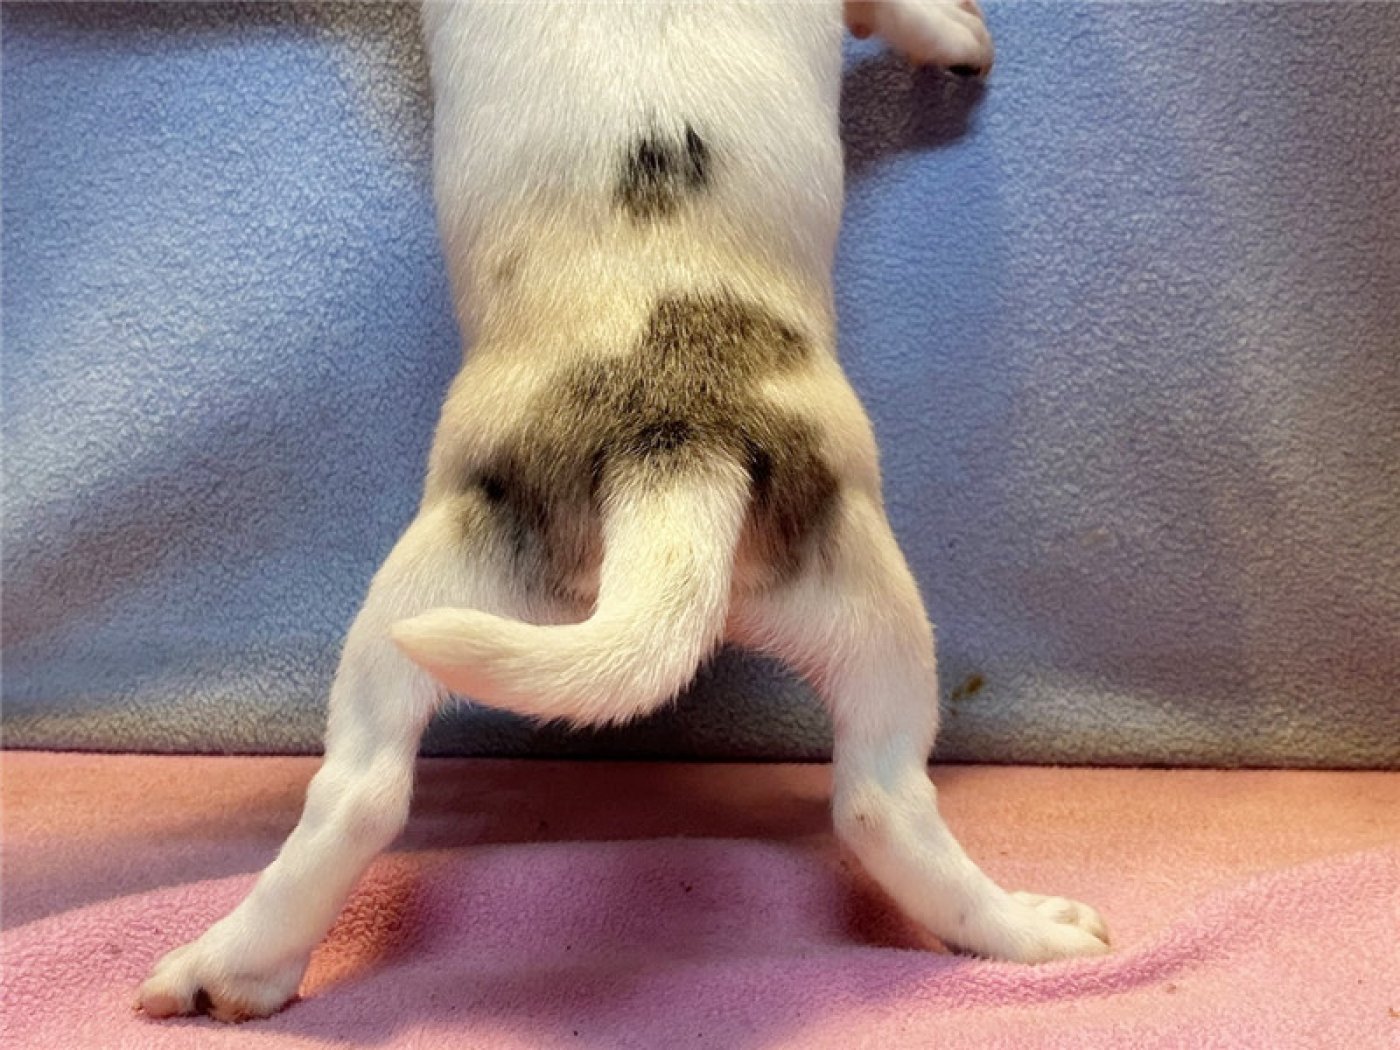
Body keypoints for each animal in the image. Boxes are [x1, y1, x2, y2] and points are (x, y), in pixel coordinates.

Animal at [137, 0, 1107, 1022]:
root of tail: (676, 456)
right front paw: (955, 36)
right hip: (855, 601)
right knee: (878, 799)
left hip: (435, 590)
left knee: (360, 787)